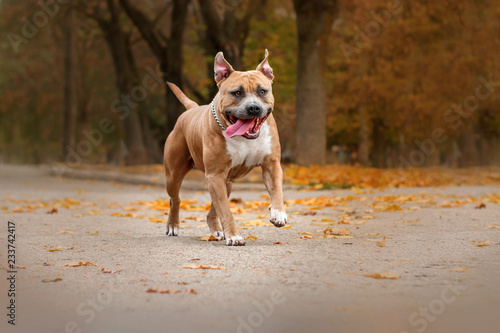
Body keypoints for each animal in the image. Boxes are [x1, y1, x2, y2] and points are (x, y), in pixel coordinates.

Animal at [164, 50, 288, 246]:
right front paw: (234, 236)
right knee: (175, 199)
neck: (244, 137)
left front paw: (278, 213)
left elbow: (276, 190)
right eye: (237, 93)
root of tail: (191, 109)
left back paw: (216, 230)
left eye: (262, 91)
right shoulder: (215, 175)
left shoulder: (271, 164)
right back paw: (173, 225)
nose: (253, 108)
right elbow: (225, 210)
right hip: (174, 175)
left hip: (226, 182)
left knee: (212, 210)